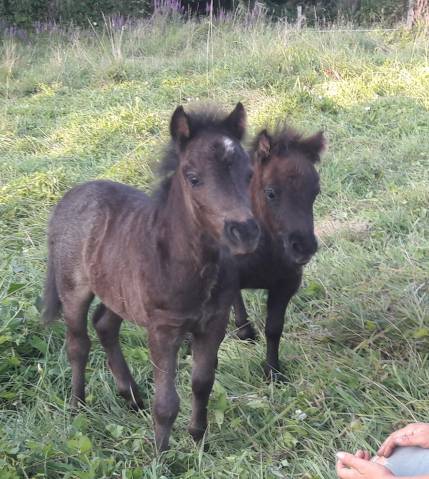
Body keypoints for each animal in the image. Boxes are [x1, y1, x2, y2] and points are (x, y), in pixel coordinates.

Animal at [42, 103, 260, 452]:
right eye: (193, 178)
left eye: (249, 174)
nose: (245, 232)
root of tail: (69, 196)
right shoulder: (163, 330)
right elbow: (167, 401)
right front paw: (161, 453)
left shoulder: (214, 322)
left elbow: (202, 382)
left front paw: (198, 438)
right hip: (72, 289)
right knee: (77, 343)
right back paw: (77, 406)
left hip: (117, 290)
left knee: (104, 324)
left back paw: (131, 397)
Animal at [234, 125, 324, 380]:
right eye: (271, 193)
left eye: (316, 191)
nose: (304, 247)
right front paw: (246, 333)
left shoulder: (286, 284)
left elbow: (274, 328)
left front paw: (273, 372)